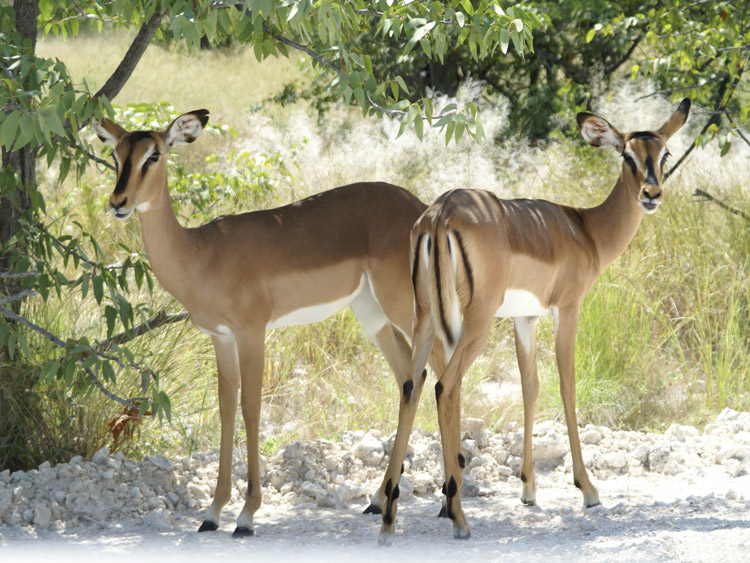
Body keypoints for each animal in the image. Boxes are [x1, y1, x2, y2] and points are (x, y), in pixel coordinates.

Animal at [94, 109, 446, 536]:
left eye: (155, 154)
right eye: (116, 155)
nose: (118, 202)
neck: (203, 254)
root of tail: (421, 210)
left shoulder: (252, 333)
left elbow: (251, 407)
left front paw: (246, 516)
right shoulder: (221, 338)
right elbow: (227, 407)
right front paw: (212, 513)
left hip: (407, 306)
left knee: (444, 370)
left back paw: (446, 504)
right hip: (372, 313)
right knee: (411, 377)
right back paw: (379, 500)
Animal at [376, 99, 692, 544]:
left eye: (663, 154)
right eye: (626, 155)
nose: (651, 194)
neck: (584, 230)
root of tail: (439, 215)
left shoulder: (524, 319)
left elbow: (529, 388)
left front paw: (528, 489)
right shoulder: (568, 309)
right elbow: (567, 385)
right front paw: (588, 490)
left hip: (424, 319)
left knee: (411, 385)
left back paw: (389, 517)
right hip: (474, 324)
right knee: (445, 387)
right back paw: (457, 517)